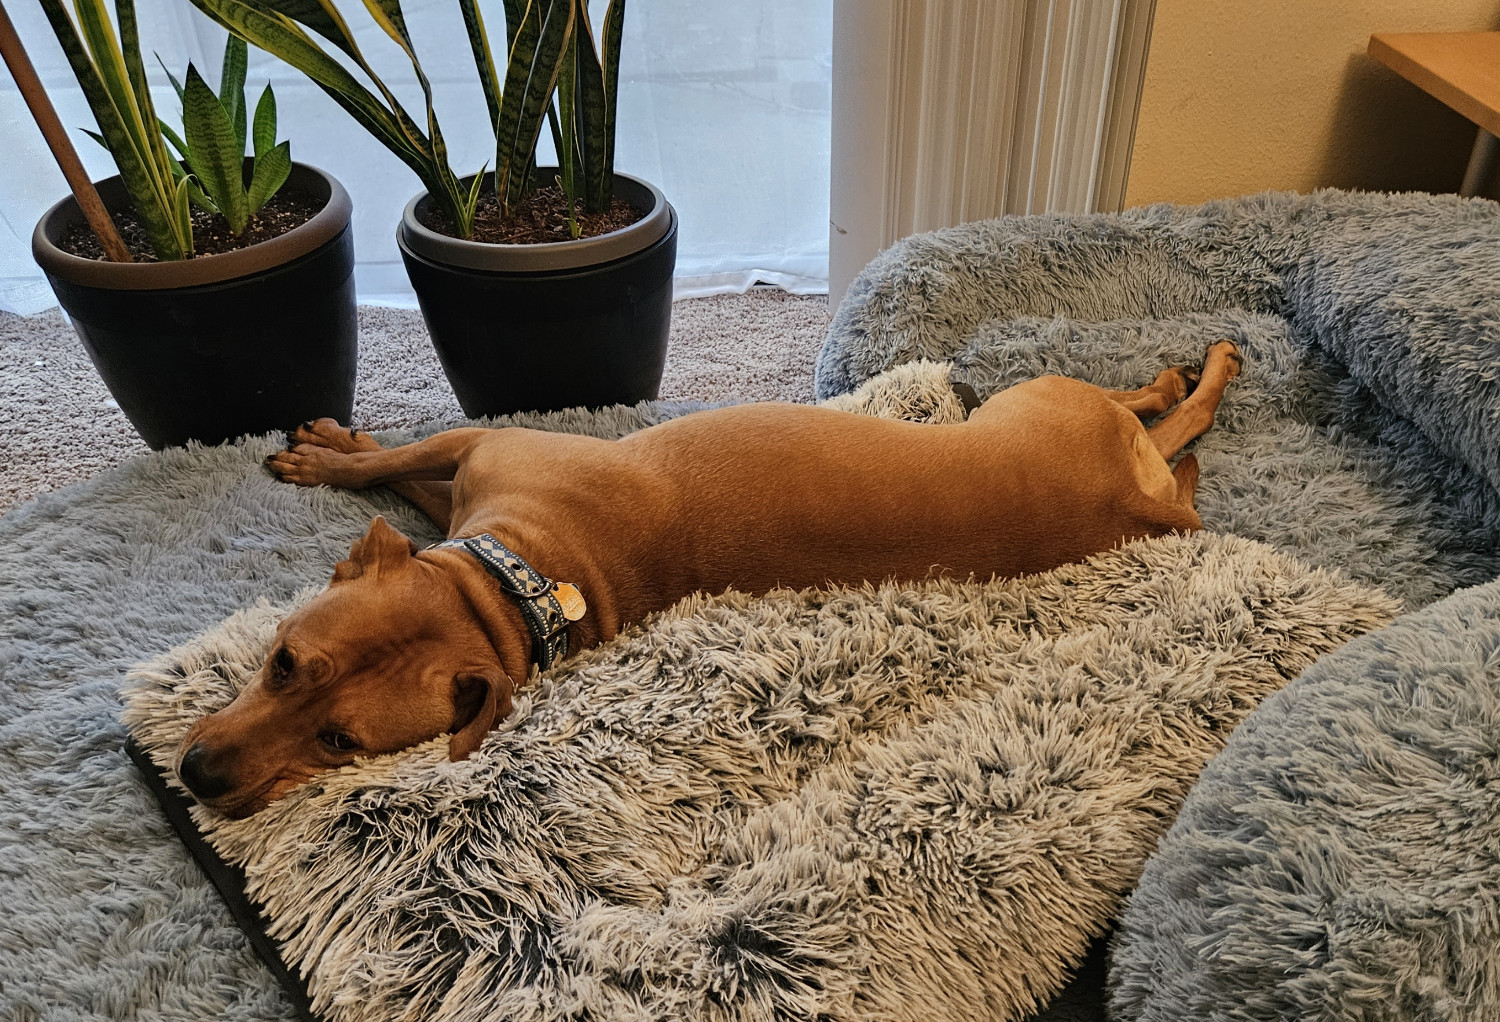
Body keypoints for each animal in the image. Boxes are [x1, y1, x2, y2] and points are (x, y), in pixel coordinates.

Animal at [175, 340, 1242, 810]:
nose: (197, 777)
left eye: (341, 742)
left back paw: (1199, 369)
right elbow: (400, 473)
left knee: (1150, 404)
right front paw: (345, 445)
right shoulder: (466, 502)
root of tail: (1134, 509)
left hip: (1042, 400)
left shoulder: (481, 448)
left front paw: (329, 457)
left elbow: (393, 462)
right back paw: (1188, 385)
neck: (516, 589)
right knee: (1172, 432)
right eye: (280, 663)